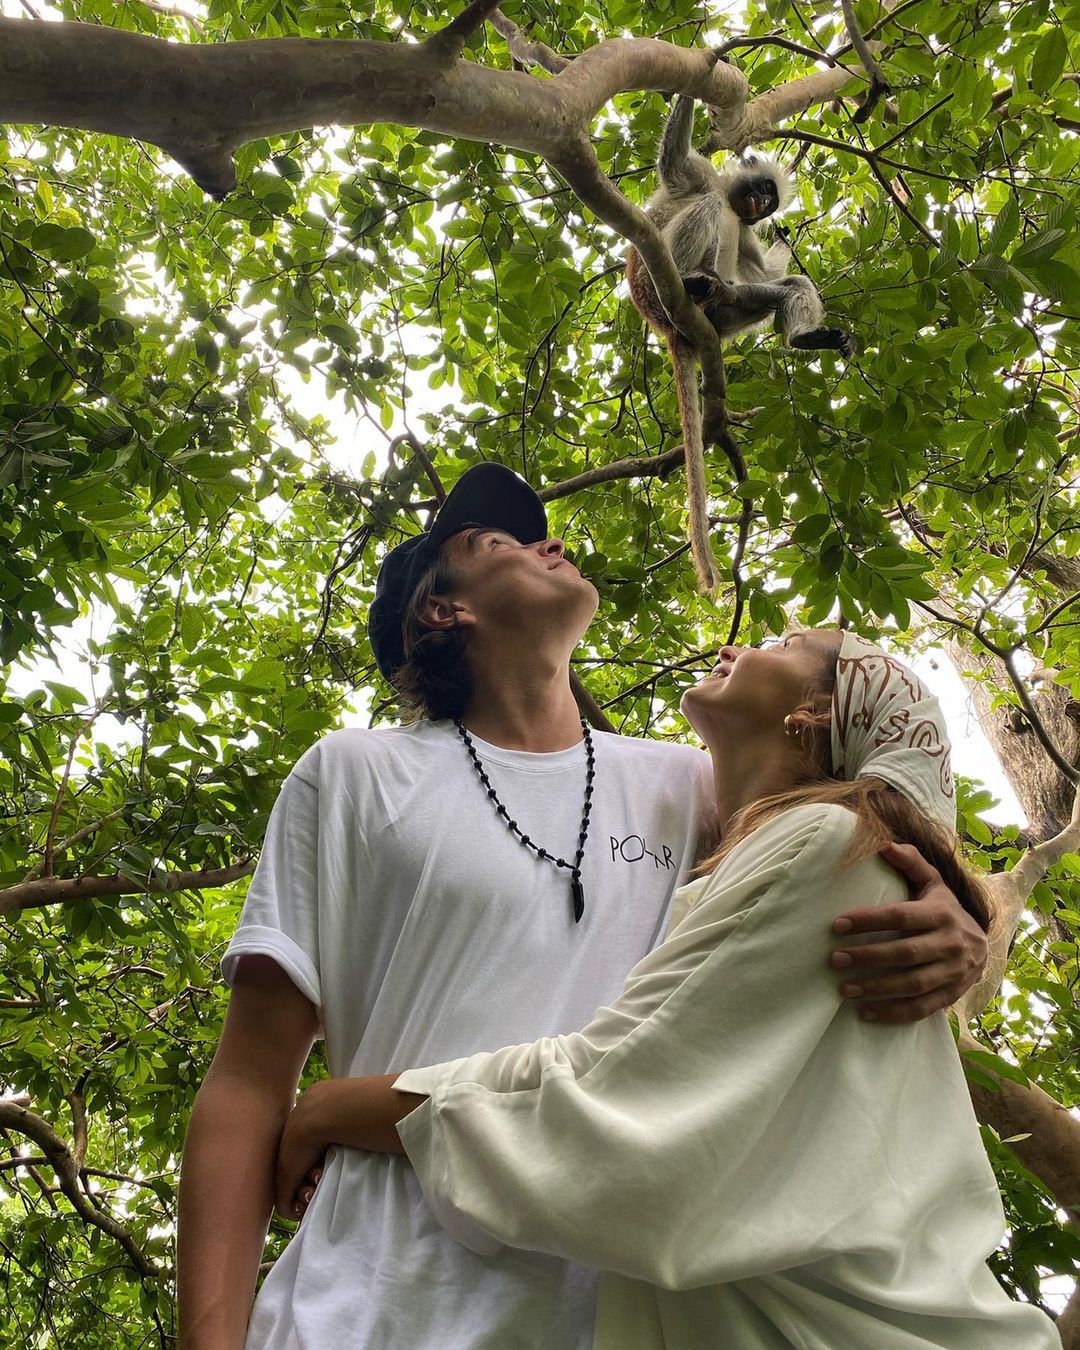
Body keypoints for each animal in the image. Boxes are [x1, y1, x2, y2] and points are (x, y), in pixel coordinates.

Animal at [623, 97, 853, 594]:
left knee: (780, 288)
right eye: (764, 189)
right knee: (706, 211)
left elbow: (767, 273)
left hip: (728, 311)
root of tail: (665, 323)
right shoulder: (702, 177)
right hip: (654, 282)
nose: (764, 204)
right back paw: (692, 282)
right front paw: (696, 78)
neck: (735, 203)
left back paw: (802, 335)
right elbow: (673, 163)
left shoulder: (747, 231)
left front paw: (787, 237)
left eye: (769, 201)